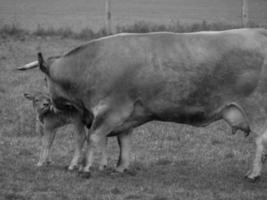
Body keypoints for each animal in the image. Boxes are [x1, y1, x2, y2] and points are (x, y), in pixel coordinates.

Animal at [22, 28, 267, 180]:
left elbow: (93, 137)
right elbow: (124, 142)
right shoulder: (128, 117)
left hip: (256, 108)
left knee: (260, 139)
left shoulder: (111, 110)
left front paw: (86, 168)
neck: (91, 64)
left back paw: (253, 174)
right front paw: (120, 168)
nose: (51, 105)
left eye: (44, 79)